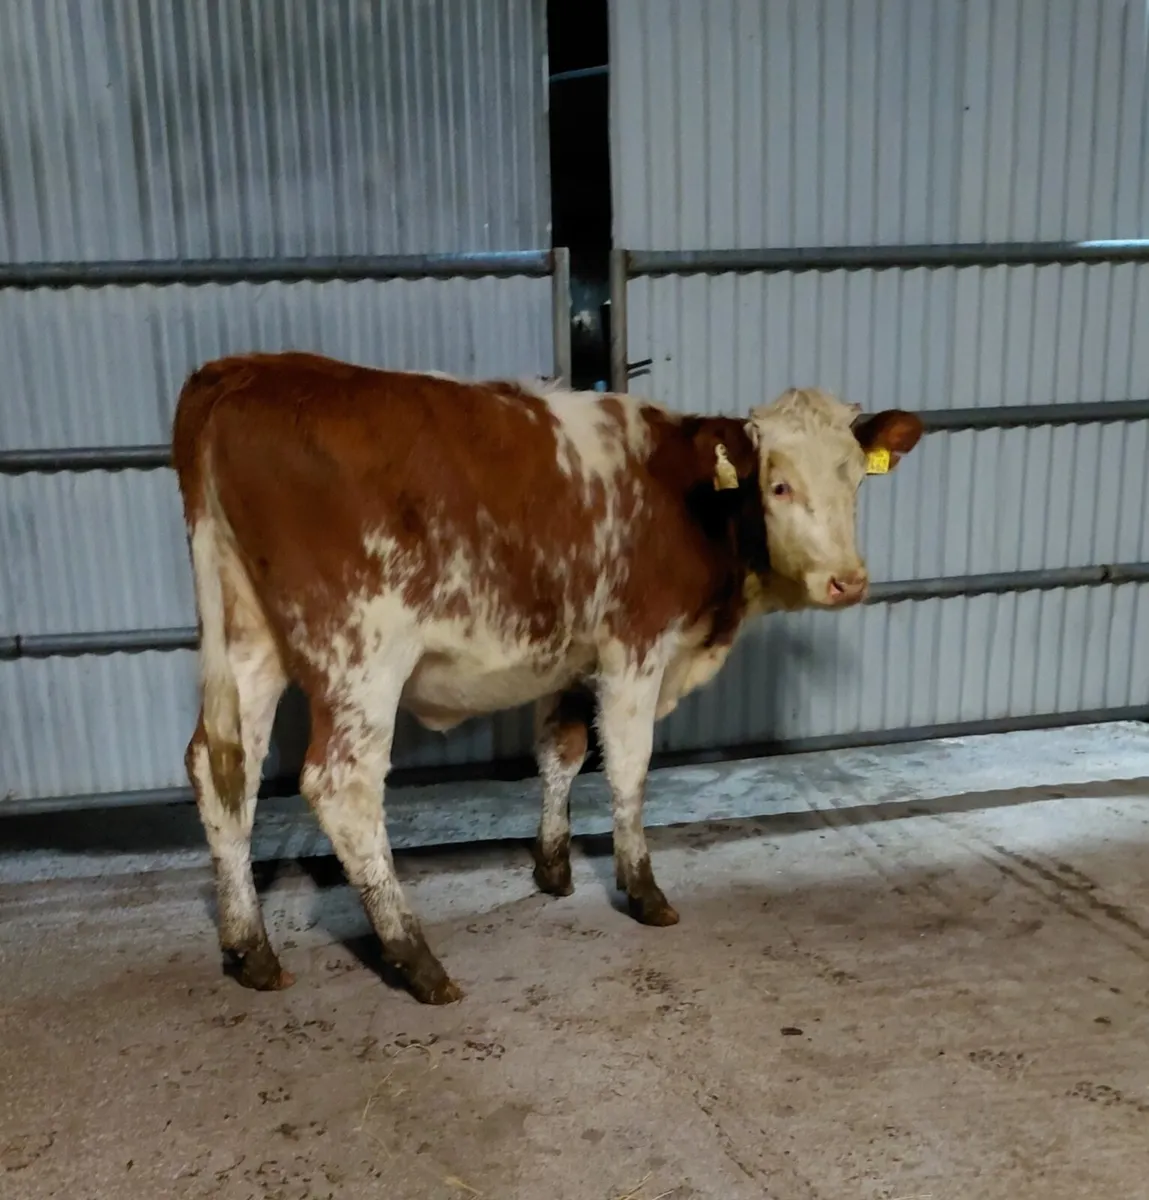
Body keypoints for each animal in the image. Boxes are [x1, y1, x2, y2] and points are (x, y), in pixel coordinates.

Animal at [172, 352, 923, 1005]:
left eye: (856, 479)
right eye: (778, 483)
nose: (847, 581)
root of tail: (248, 370)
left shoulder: (572, 658)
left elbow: (560, 752)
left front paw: (553, 867)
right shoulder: (635, 645)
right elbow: (628, 766)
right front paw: (640, 889)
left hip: (251, 643)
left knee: (222, 770)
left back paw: (249, 948)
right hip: (362, 652)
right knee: (342, 785)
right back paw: (414, 956)